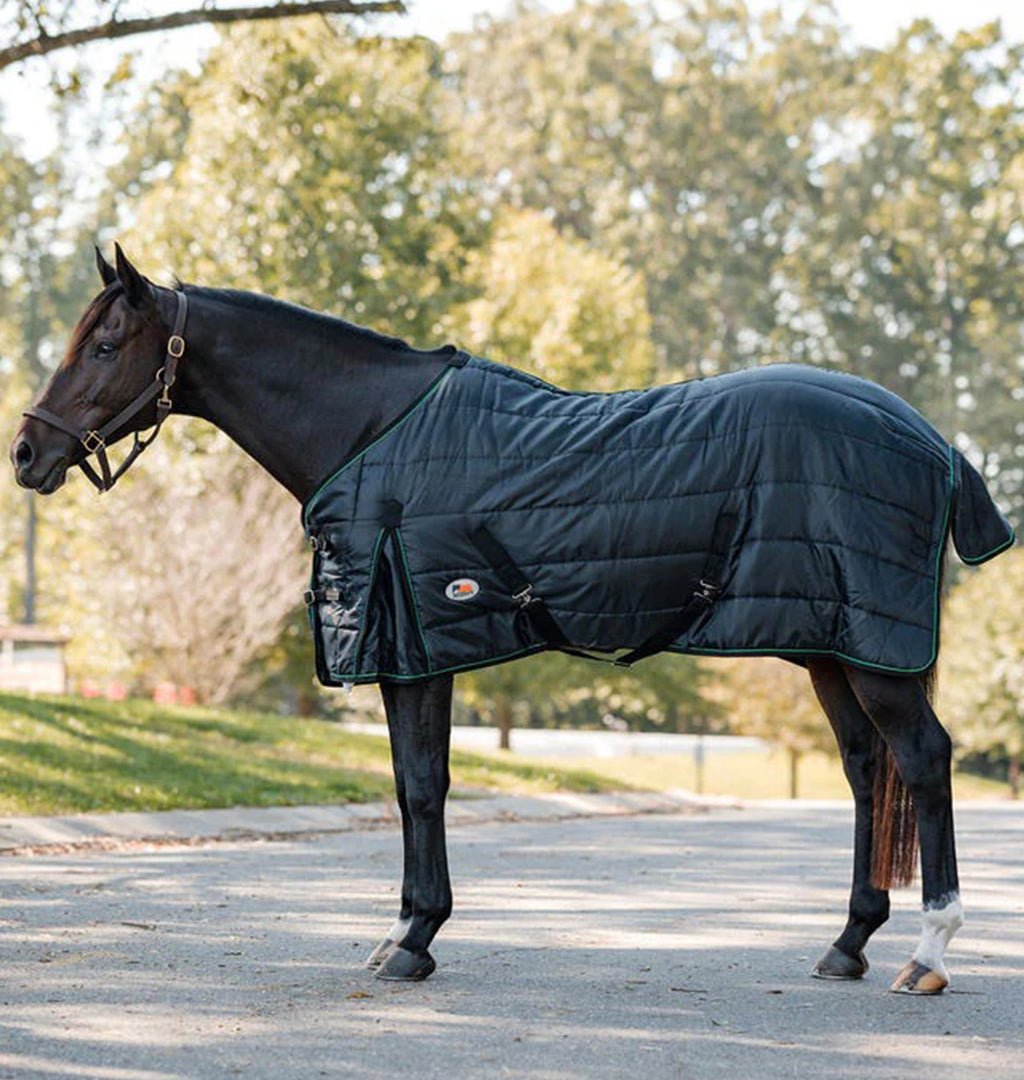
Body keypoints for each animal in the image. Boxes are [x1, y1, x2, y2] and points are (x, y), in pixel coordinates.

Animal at [10, 246, 1015, 993]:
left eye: (105, 346)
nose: (26, 452)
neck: (371, 430)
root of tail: (930, 439)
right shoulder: (414, 650)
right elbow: (415, 784)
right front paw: (406, 932)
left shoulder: (414, 645)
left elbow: (422, 787)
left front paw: (413, 941)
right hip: (828, 643)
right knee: (866, 769)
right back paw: (846, 945)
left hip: (871, 652)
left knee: (922, 758)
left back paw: (927, 954)